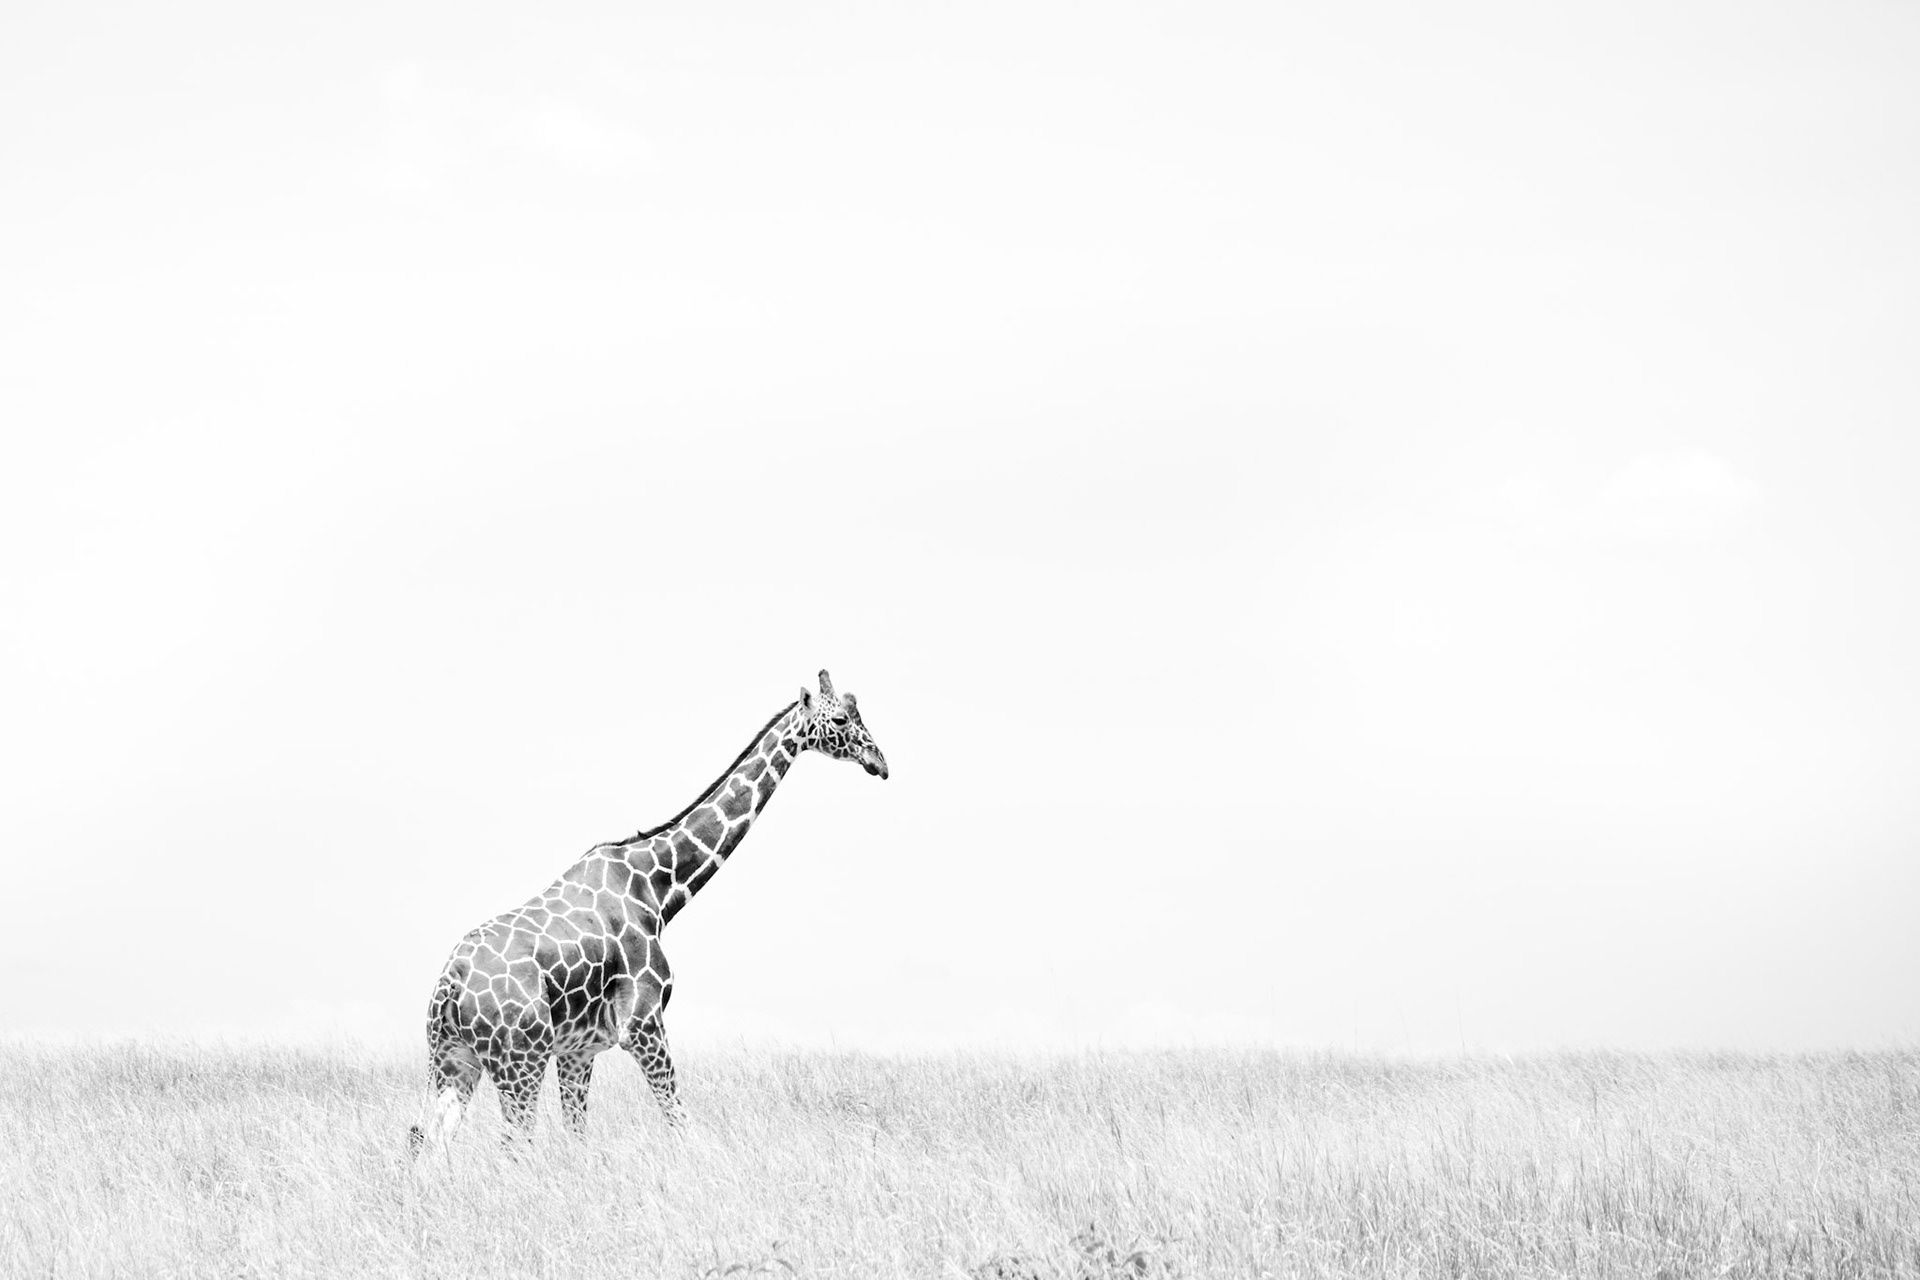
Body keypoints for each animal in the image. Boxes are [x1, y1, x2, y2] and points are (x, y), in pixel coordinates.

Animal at [408, 669, 887, 1152]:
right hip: (519, 1059)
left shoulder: (579, 1049)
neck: (657, 890)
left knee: (430, 1142)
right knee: (512, 1146)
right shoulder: (642, 1024)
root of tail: (450, 984)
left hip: (455, 1061)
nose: (880, 762)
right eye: (841, 719)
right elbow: (680, 1123)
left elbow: (579, 1139)